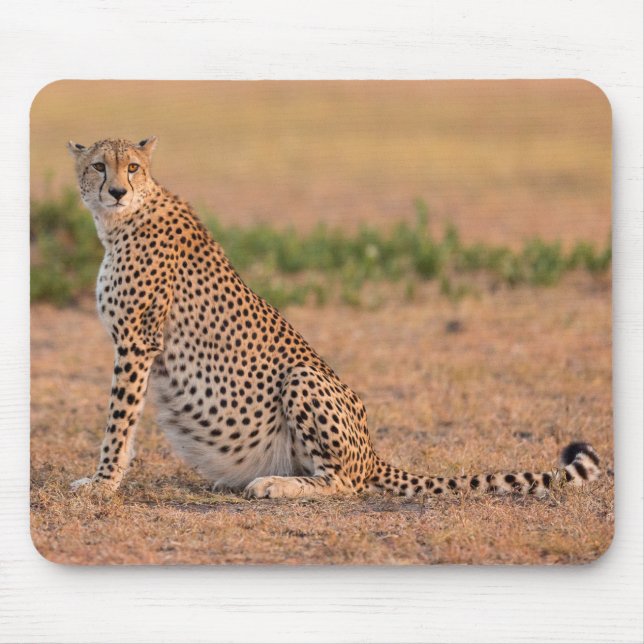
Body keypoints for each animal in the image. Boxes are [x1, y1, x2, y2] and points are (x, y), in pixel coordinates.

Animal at [67, 137, 602, 500]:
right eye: (98, 166)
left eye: (132, 167)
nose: (116, 191)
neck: (120, 222)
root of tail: (373, 451)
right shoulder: (137, 346)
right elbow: (127, 422)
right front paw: (107, 479)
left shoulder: (137, 342)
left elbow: (119, 421)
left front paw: (102, 483)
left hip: (303, 377)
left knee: (344, 482)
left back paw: (275, 485)